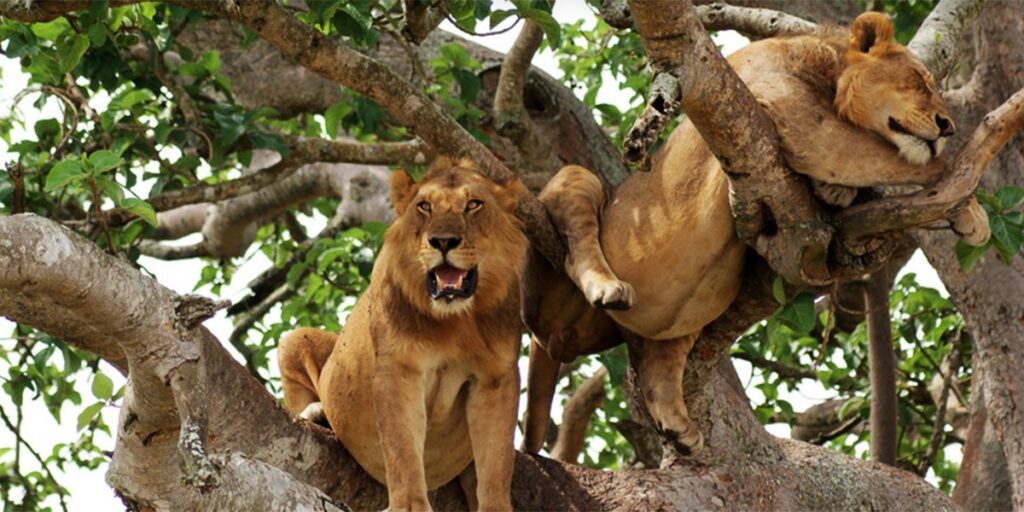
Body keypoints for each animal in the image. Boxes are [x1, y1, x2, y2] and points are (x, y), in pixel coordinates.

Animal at [278, 157, 528, 509]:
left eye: (473, 205)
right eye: (424, 207)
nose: (443, 241)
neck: (456, 321)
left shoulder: (496, 378)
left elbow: (497, 461)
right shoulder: (399, 368)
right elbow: (402, 448)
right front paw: (409, 505)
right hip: (294, 339)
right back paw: (316, 413)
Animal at [524, 12, 987, 456]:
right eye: (919, 81)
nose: (947, 126)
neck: (828, 70)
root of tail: (555, 342)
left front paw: (839, 192)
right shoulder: (788, 109)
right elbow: (907, 161)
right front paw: (974, 208)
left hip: (677, 321)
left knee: (659, 361)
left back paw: (677, 427)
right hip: (577, 184)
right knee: (576, 245)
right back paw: (606, 287)